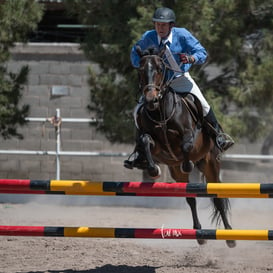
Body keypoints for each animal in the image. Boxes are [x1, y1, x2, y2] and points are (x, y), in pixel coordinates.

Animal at [133, 45, 235, 248]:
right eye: (140, 70)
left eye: (160, 69)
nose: (150, 100)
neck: (160, 112)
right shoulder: (155, 145)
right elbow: (146, 141)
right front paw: (153, 169)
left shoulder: (190, 136)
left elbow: (186, 146)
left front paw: (187, 163)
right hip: (176, 172)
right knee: (190, 198)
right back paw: (200, 235)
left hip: (211, 164)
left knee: (218, 199)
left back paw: (229, 237)